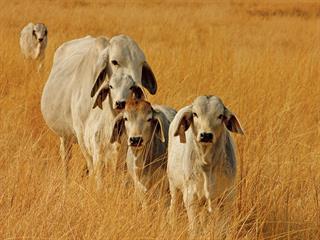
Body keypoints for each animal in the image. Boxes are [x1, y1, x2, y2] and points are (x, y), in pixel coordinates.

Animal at [40, 35, 158, 182]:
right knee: (65, 156)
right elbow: (92, 166)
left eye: (141, 63)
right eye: (114, 62)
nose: (137, 89)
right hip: (64, 135)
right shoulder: (82, 135)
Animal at [166, 95, 244, 236]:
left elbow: (222, 229)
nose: (206, 135)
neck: (207, 165)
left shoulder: (227, 197)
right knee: (173, 209)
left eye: (220, 116)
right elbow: (194, 229)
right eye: (195, 114)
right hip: (174, 187)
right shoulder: (191, 197)